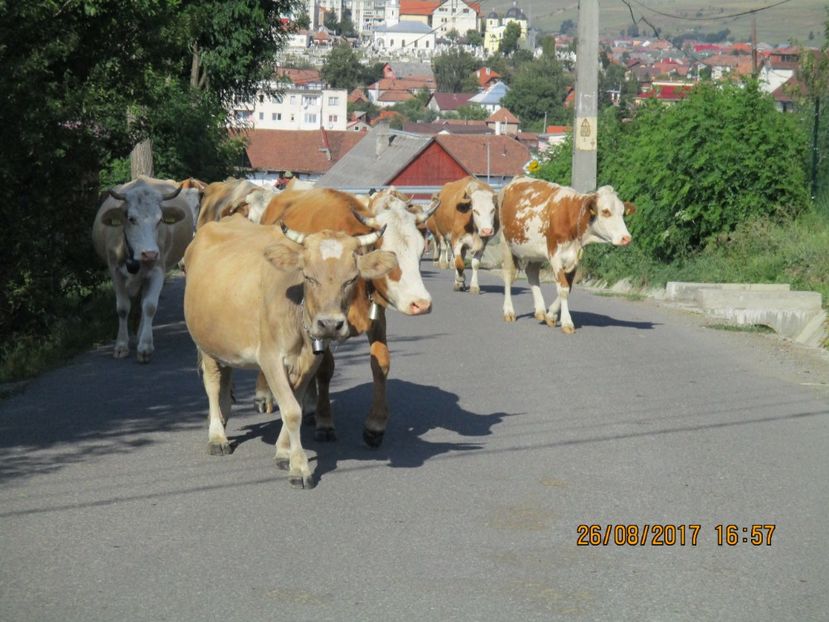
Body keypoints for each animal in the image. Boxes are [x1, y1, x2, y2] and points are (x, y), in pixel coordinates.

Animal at [91, 174, 194, 360]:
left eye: (160, 220)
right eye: (131, 219)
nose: (150, 253)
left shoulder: (158, 270)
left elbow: (149, 306)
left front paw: (145, 346)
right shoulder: (115, 271)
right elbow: (122, 308)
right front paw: (121, 345)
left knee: (143, 302)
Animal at [184, 217, 398, 490]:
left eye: (351, 279)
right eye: (308, 276)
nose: (330, 324)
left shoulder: (310, 360)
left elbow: (294, 403)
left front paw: (284, 453)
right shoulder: (271, 358)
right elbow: (292, 411)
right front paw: (300, 467)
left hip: (224, 342)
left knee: (226, 377)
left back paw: (223, 417)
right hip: (205, 343)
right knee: (212, 385)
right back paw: (217, 436)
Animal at [262, 188, 436, 446]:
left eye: (421, 249)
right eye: (389, 254)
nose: (421, 303)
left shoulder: (376, 317)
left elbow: (380, 363)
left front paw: (375, 424)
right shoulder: (323, 323)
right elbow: (325, 369)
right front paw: (325, 422)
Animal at [498, 178, 632, 334]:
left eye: (623, 213)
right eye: (605, 211)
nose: (626, 238)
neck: (571, 218)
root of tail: (516, 180)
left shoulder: (574, 258)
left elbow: (568, 287)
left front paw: (551, 315)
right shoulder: (555, 256)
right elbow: (563, 289)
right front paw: (567, 322)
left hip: (536, 251)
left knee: (531, 272)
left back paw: (540, 310)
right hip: (506, 243)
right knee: (508, 275)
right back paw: (509, 311)